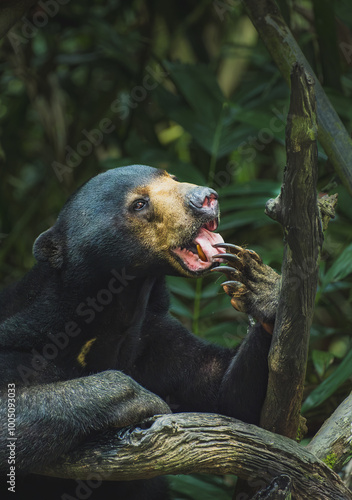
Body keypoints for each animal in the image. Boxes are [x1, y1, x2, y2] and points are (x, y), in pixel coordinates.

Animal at [0, 165, 280, 500]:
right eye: (139, 204)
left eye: (172, 177)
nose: (206, 198)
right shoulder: (22, 342)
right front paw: (147, 401)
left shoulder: (156, 339)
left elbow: (229, 401)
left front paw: (258, 284)